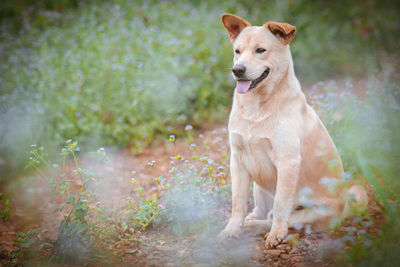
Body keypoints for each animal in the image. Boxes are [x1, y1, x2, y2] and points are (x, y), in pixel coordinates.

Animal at [217, 14, 368, 249]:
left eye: (260, 50)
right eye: (237, 51)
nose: (237, 70)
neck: (256, 107)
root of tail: (344, 209)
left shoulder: (287, 161)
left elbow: (280, 206)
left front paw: (275, 235)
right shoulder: (238, 159)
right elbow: (237, 202)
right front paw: (231, 230)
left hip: (310, 212)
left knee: (279, 217)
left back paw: (257, 226)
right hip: (259, 184)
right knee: (259, 210)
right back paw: (249, 221)